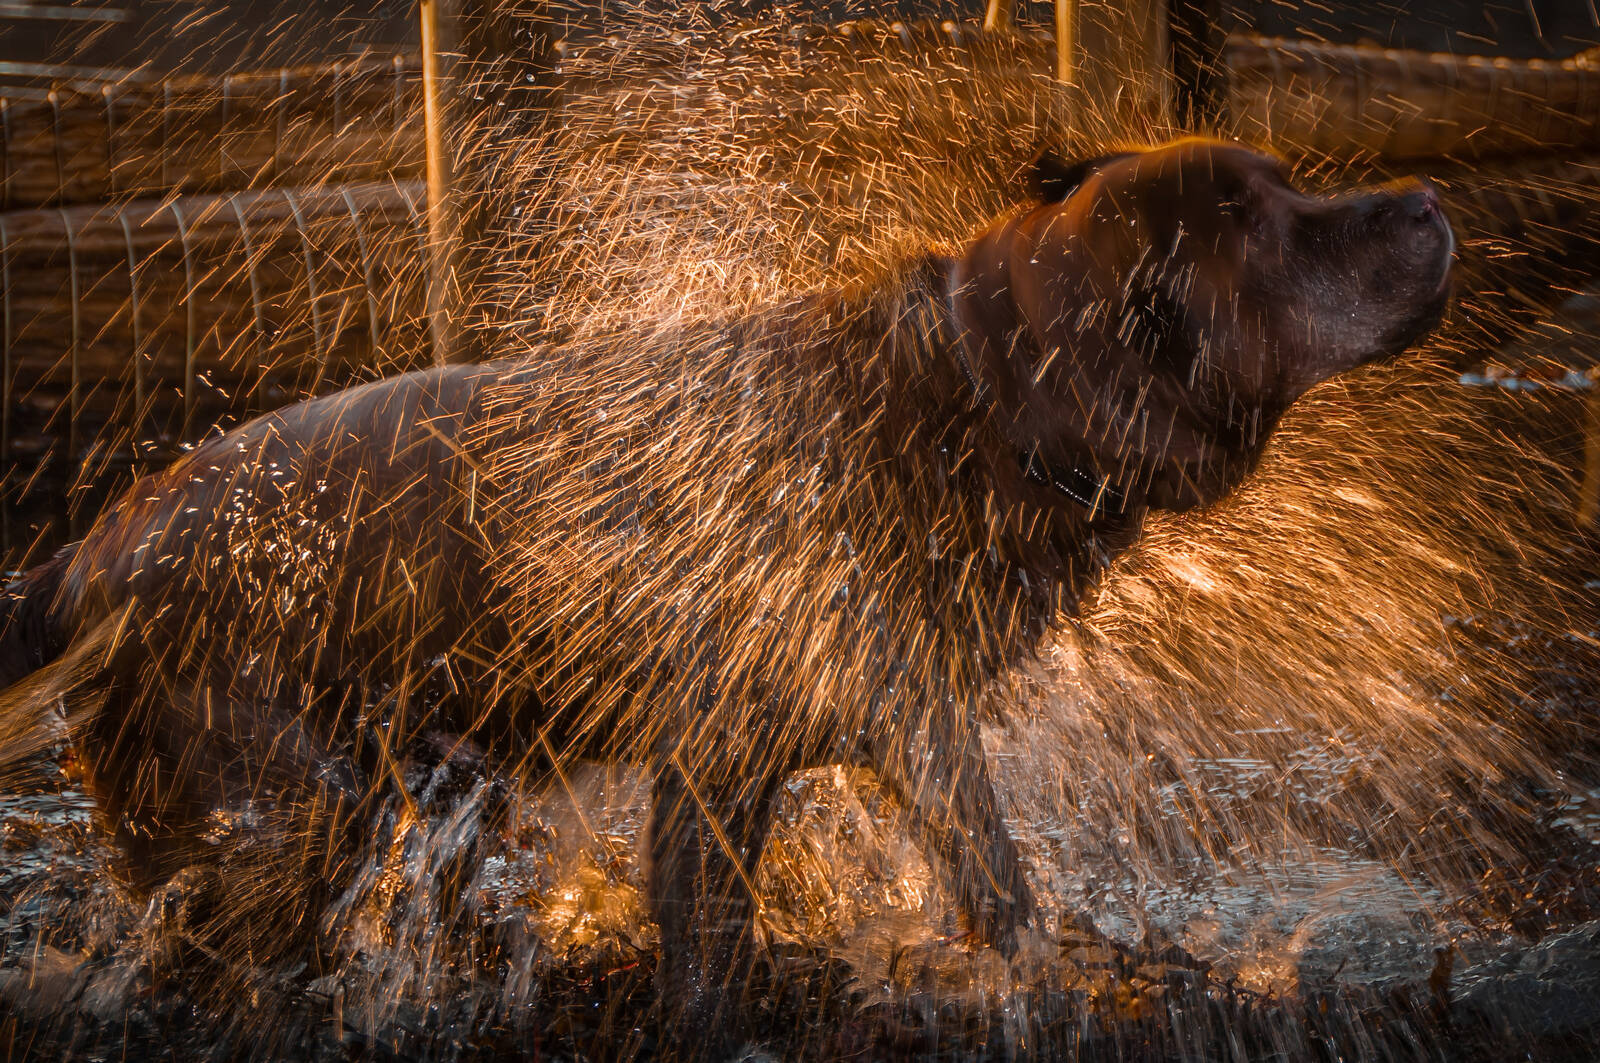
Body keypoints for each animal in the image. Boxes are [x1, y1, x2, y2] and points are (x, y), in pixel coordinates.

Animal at [0, 138, 1452, 1055]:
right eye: (1265, 221)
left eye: (1290, 189)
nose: (1432, 201)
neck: (978, 400)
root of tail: (75, 560)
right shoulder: (871, 729)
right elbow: (990, 890)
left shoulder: (740, 758)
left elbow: (722, 941)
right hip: (290, 804)